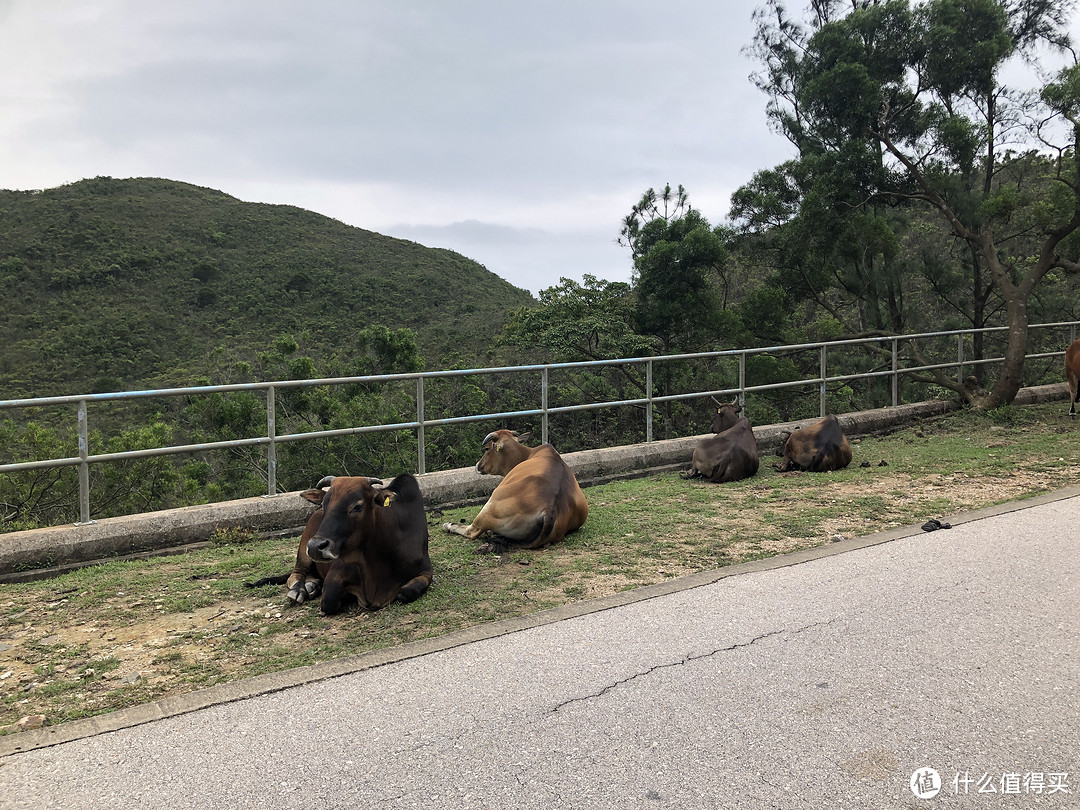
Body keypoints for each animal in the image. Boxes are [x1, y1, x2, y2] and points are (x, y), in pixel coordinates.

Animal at [440, 432, 591, 557]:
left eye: (487, 449)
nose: (478, 465)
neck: (529, 454)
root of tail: (549, 509)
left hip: (490, 505)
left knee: (472, 531)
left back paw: (449, 525)